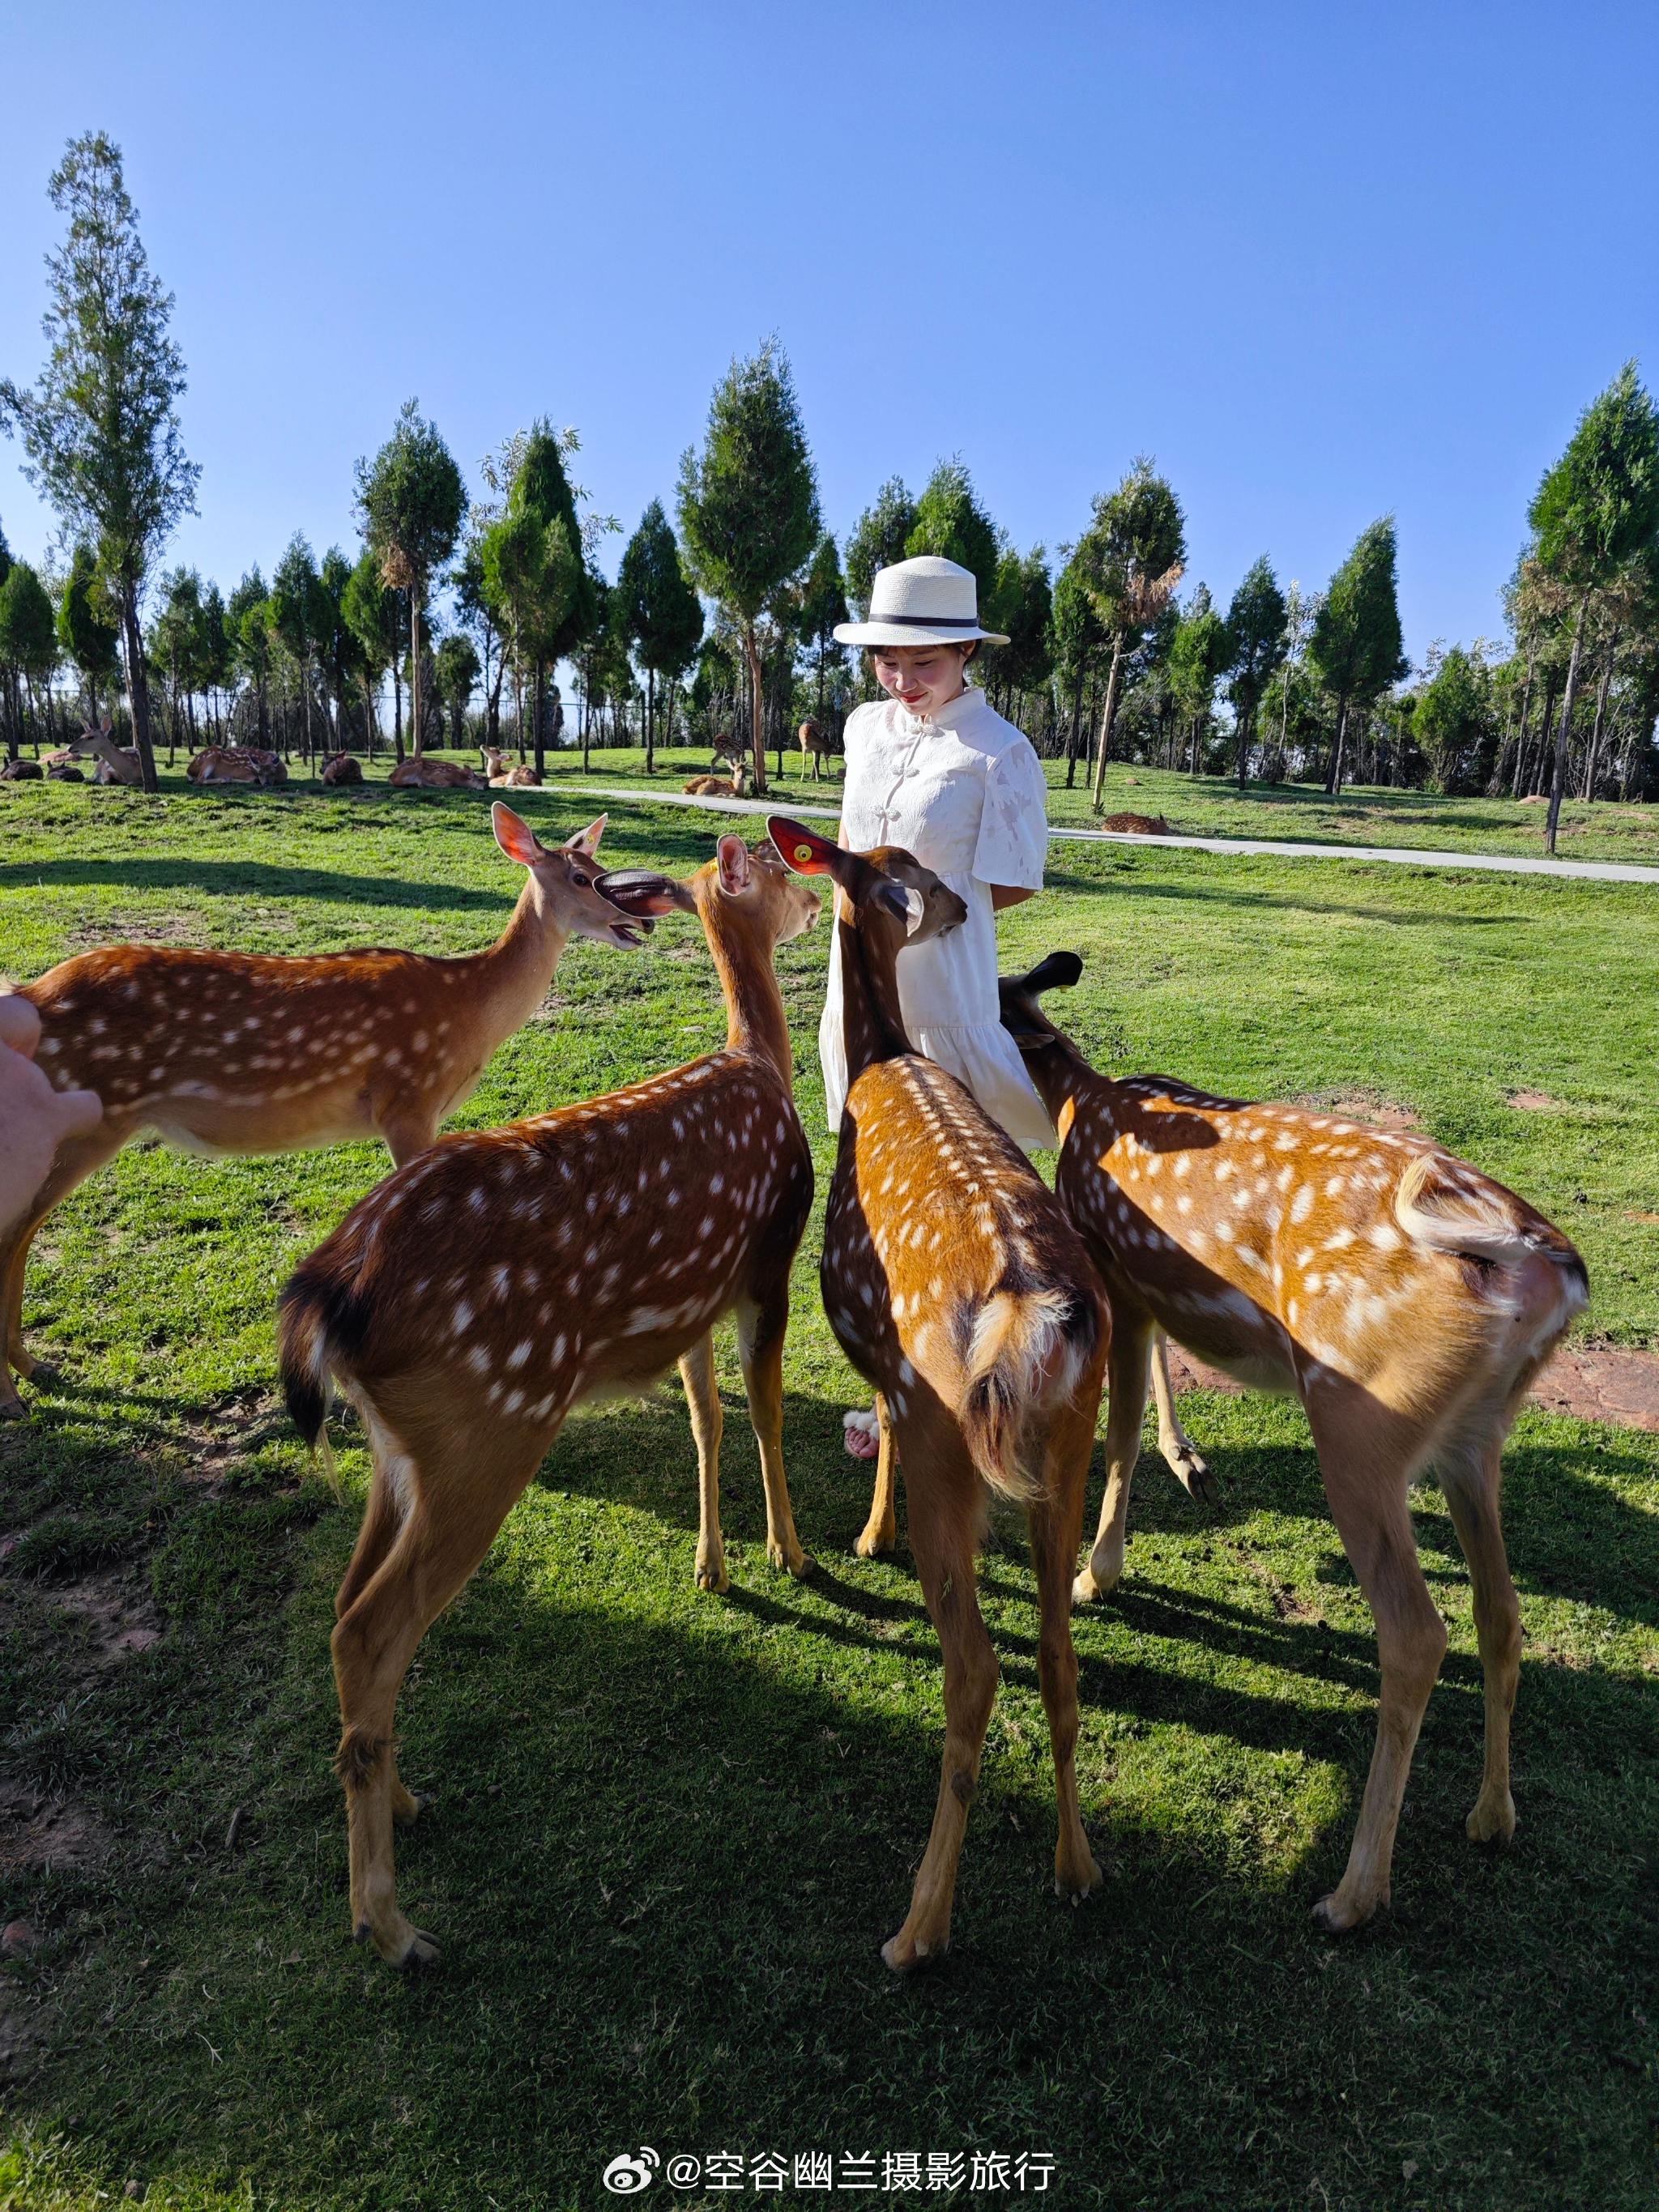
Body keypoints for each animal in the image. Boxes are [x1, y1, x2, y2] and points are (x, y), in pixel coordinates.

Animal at [0, 808, 640, 1419]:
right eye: (581, 877)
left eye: (602, 865)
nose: (637, 923)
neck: (468, 1012)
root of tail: (29, 996)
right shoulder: (408, 1098)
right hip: (86, 1116)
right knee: (14, 1230)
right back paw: (14, 1393)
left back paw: (35, 1367)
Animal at [276, 829, 821, 1968]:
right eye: (775, 871)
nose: (818, 894)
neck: (758, 1061)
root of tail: (327, 1293)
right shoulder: (766, 1263)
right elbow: (762, 1409)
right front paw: (789, 1554)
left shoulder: (688, 1302)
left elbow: (705, 1415)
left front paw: (711, 1564)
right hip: (491, 1422)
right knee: (373, 1629)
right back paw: (389, 1922)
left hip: (401, 1449)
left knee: (344, 1611)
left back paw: (401, 1799)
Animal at [767, 815, 1109, 1973]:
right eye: (902, 873)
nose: (960, 905)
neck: (882, 1060)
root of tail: (1032, 1315)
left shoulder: (878, 1349)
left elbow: (869, 1409)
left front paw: (866, 1536)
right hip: (1070, 1440)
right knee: (1056, 1654)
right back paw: (1077, 1868)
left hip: (948, 1433)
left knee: (975, 1673)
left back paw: (918, 1926)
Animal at [996, 949, 1589, 1934]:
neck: (1080, 1102)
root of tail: (1544, 1270)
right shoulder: (1151, 1296)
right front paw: (1185, 1469)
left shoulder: (1114, 1273)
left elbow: (1119, 1434)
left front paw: (1097, 1572)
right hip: (1477, 1437)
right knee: (1500, 1611)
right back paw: (1491, 1815)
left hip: (1359, 1421)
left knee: (1415, 1633)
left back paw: (1353, 1892)